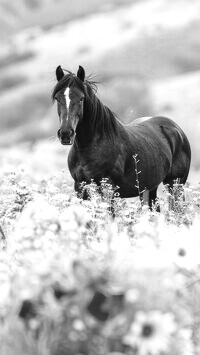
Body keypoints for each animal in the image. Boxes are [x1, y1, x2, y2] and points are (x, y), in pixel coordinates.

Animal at [51, 65, 191, 210]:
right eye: (57, 98)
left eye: (81, 98)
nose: (66, 134)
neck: (92, 145)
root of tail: (177, 129)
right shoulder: (80, 187)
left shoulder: (109, 189)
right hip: (150, 189)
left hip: (175, 185)